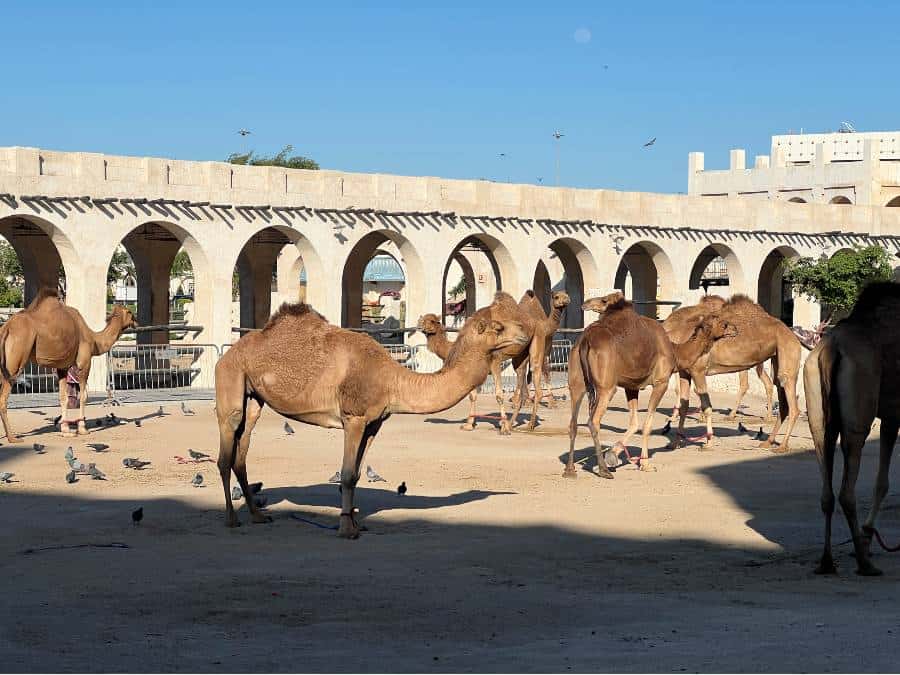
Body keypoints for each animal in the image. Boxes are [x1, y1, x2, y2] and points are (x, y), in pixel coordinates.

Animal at [0, 288, 137, 441]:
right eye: (129, 312)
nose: (136, 321)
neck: (94, 339)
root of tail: (6, 327)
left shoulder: (62, 368)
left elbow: (63, 397)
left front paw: (65, 430)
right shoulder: (84, 363)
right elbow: (83, 396)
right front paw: (82, 429)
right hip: (15, 361)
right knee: (3, 398)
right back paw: (12, 438)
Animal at [214, 301, 528, 535]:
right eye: (499, 327)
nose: (525, 333)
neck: (391, 380)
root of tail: (228, 353)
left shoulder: (374, 423)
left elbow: (356, 473)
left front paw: (357, 524)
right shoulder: (353, 417)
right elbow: (347, 474)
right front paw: (345, 529)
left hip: (255, 398)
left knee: (241, 454)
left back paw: (257, 515)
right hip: (231, 379)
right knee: (225, 453)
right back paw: (231, 519)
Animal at [563, 292, 736, 478]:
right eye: (723, 323)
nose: (735, 329)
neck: (675, 352)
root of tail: (585, 341)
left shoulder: (631, 386)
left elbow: (634, 423)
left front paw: (612, 455)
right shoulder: (661, 382)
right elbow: (647, 424)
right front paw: (645, 464)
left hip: (576, 381)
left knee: (573, 420)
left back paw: (570, 469)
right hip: (606, 386)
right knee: (593, 420)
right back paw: (603, 470)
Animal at [670, 295, 803, 452]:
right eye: (723, 325)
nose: (734, 330)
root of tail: (792, 334)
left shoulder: (698, 371)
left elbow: (706, 406)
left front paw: (708, 444)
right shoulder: (685, 373)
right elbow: (684, 406)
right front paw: (675, 443)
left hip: (787, 350)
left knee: (792, 403)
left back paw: (782, 446)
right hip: (777, 357)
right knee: (781, 396)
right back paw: (767, 442)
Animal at [805, 282, 900, 576]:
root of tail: (831, 349)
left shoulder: (891, 414)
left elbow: (882, 482)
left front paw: (869, 535)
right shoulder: (895, 413)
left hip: (817, 410)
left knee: (826, 488)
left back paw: (827, 561)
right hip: (859, 408)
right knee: (847, 491)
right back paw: (864, 563)